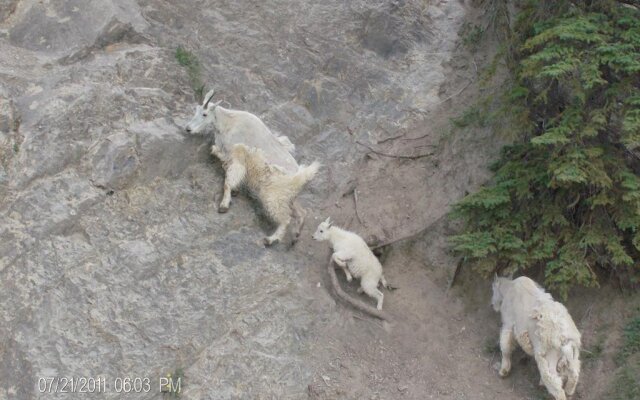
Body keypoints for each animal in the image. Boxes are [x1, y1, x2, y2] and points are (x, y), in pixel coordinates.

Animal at [185, 90, 320, 245]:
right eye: (195, 110)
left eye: (204, 114)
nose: (188, 128)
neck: (228, 122)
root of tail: (302, 178)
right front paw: (235, 191)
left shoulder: (238, 154)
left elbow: (228, 180)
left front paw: (224, 205)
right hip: (289, 197)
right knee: (302, 212)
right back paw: (295, 237)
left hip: (272, 195)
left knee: (285, 218)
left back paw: (271, 239)